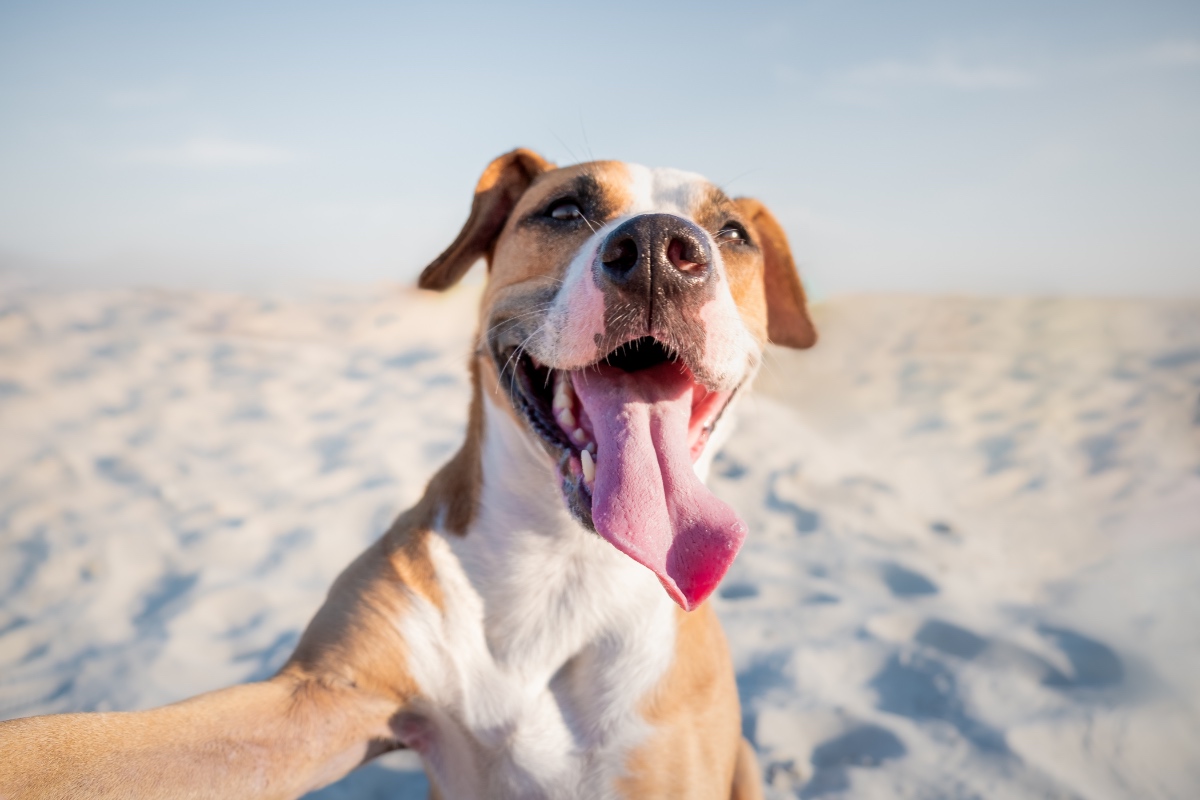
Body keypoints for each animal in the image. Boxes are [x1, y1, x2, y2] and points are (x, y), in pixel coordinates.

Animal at [0, 146, 816, 796]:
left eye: (732, 233)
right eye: (564, 209)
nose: (655, 249)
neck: (563, 564)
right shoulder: (314, 704)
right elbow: (71, 745)